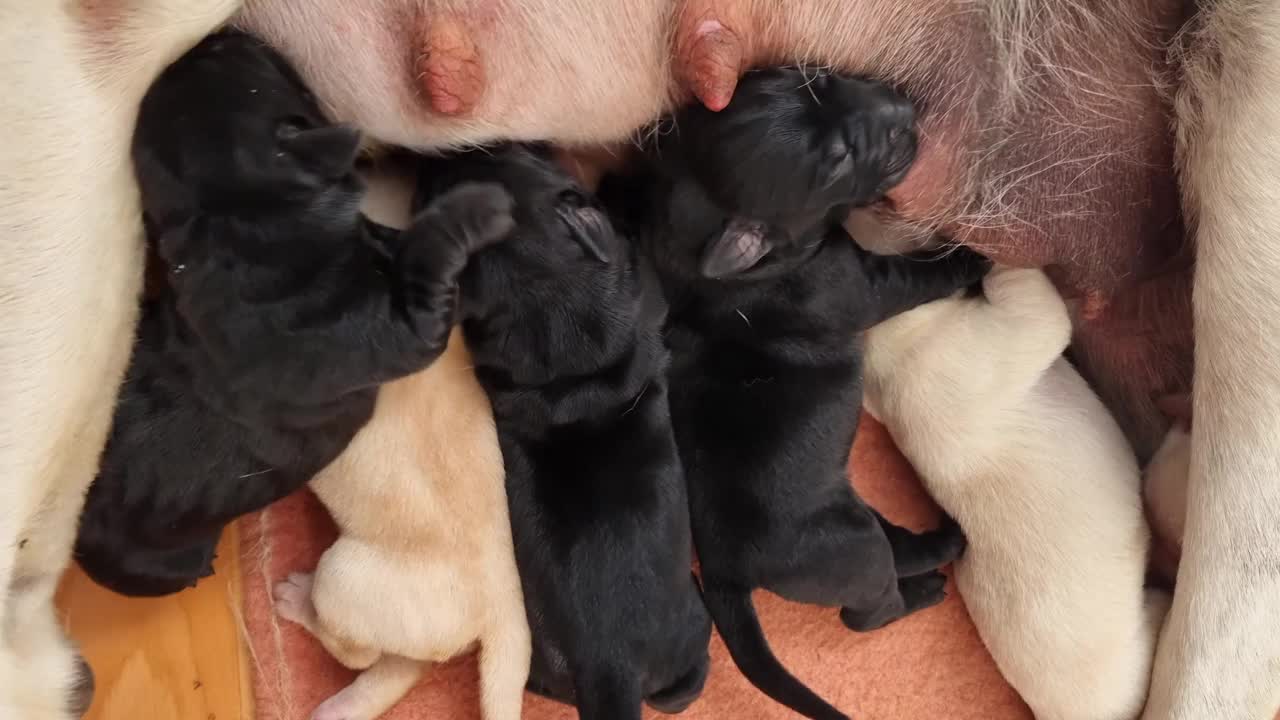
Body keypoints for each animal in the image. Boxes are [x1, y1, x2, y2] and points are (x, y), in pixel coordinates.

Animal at [72, 29, 512, 594]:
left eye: (212, 54)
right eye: (241, 56)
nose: (224, 31)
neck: (241, 230)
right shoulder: (407, 328)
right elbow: (431, 261)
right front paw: (479, 208)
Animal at [599, 64, 988, 712]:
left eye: (818, 77)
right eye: (837, 162)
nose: (905, 109)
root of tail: (723, 571)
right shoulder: (863, 282)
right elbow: (922, 275)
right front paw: (974, 258)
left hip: (850, 517)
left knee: (895, 547)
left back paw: (946, 543)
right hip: (850, 551)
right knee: (868, 610)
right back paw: (924, 591)